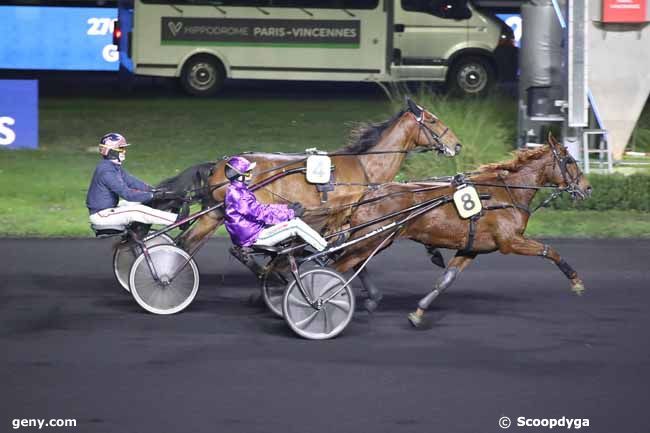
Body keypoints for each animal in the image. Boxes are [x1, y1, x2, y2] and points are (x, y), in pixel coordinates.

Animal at [178, 97, 460, 253]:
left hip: (213, 214)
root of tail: (218, 165)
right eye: (432, 121)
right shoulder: (339, 216)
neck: (364, 165)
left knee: (186, 242)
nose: (456, 145)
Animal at [332, 135, 588, 328]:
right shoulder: (511, 241)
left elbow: (446, 280)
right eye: (569, 160)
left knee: (353, 264)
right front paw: (575, 280)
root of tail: (368, 194)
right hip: (373, 238)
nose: (587, 188)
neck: (507, 194)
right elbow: (549, 250)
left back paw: (370, 299)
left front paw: (418, 313)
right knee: (339, 266)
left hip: (375, 241)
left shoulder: (471, 248)